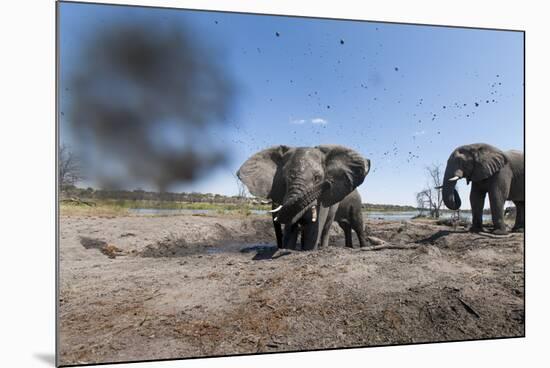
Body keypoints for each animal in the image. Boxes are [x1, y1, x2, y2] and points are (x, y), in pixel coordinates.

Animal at [237, 144, 370, 250]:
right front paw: (289, 248)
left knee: (354, 225)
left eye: (317, 178)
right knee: (345, 226)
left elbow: (314, 228)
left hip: (355, 203)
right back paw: (348, 247)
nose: (328, 182)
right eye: (284, 178)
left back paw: (360, 248)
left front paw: (307, 249)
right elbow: (291, 227)